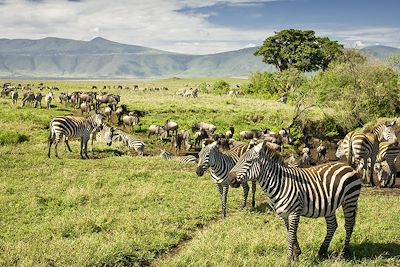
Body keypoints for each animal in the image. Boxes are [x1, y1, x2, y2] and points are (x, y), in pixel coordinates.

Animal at [228, 142, 362, 264]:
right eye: (238, 160)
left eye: (249, 162)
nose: (229, 180)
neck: (280, 183)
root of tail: (347, 165)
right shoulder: (282, 214)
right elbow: (290, 233)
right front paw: (296, 254)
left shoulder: (294, 212)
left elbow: (291, 235)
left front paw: (289, 260)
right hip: (329, 205)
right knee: (332, 226)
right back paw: (322, 251)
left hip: (350, 200)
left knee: (349, 225)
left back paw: (344, 253)